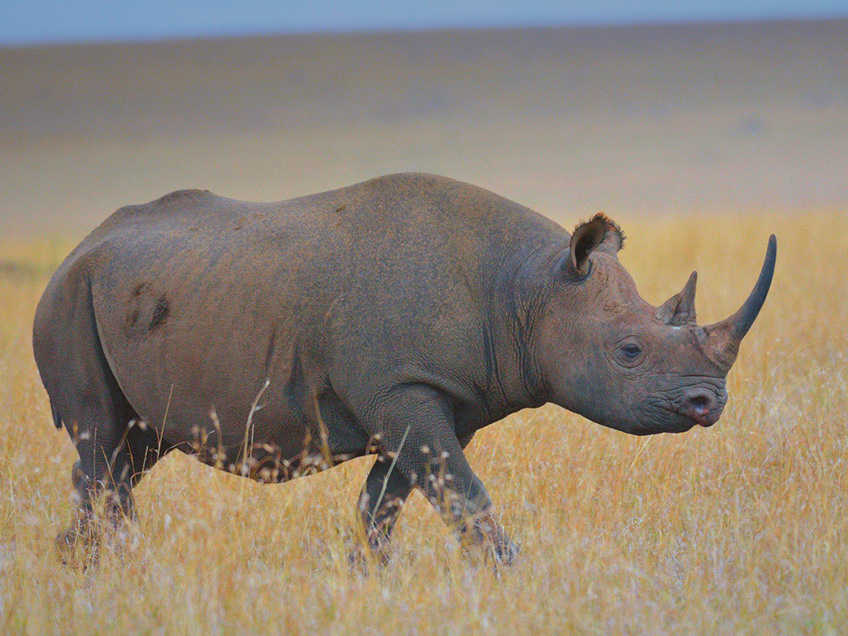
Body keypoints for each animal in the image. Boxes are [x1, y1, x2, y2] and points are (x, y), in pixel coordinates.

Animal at [33, 173, 776, 563]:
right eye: (630, 352)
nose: (710, 402)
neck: (528, 289)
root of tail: (75, 249)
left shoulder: (432, 399)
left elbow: (384, 505)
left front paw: (368, 579)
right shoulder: (403, 388)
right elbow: (465, 497)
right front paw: (508, 579)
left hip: (132, 297)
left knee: (128, 452)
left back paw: (80, 569)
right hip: (68, 300)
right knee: (103, 444)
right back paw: (116, 569)